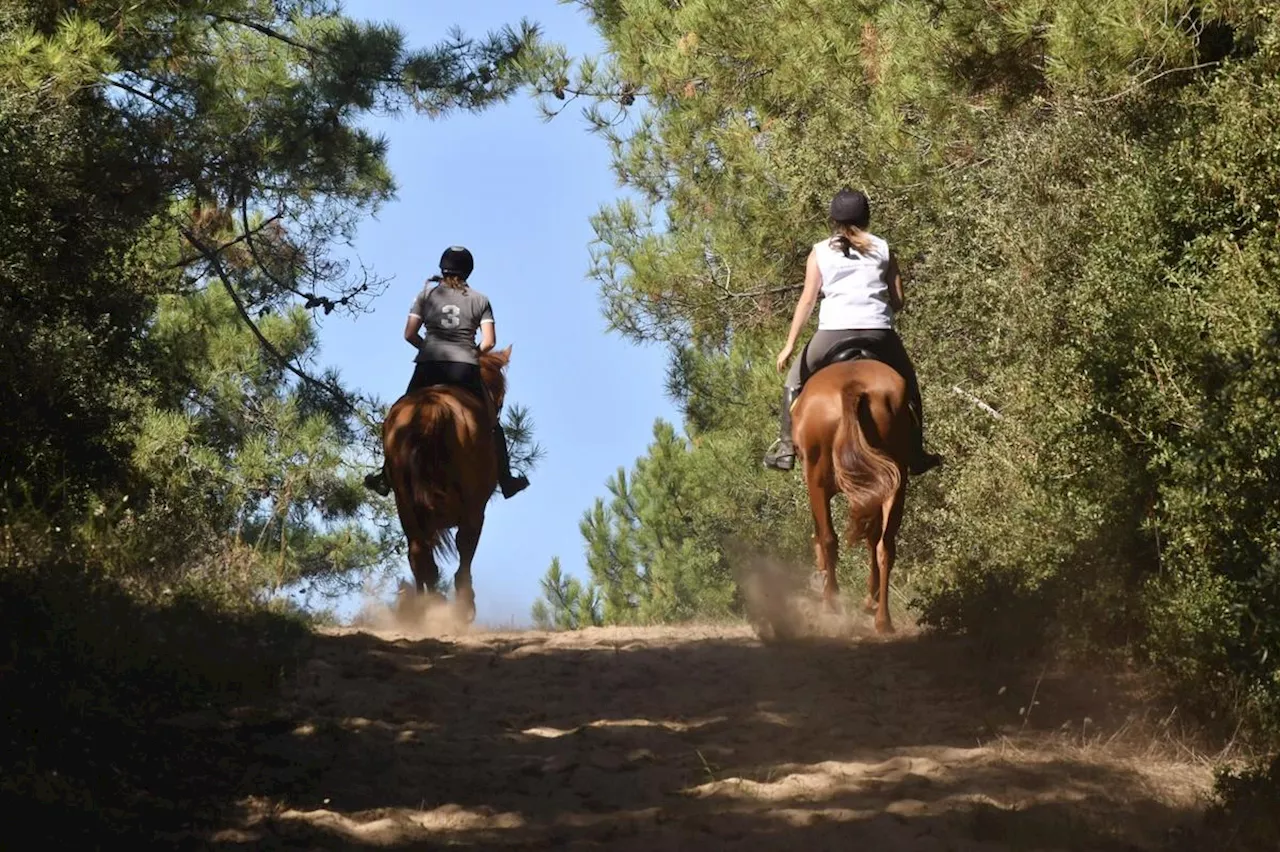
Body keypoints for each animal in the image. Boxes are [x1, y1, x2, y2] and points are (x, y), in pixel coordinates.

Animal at [381, 342, 512, 616]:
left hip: (405, 502)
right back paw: (461, 604)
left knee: (419, 551)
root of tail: (431, 407)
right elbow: (466, 546)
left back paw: (425, 606)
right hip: (472, 505)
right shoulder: (475, 506)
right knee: (464, 544)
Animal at [788, 350, 911, 629]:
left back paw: (832, 602)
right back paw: (882, 619)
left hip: (817, 480)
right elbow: (872, 539)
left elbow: (820, 535)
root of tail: (851, 387)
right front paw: (869, 600)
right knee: (885, 546)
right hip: (894, 483)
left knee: (829, 538)